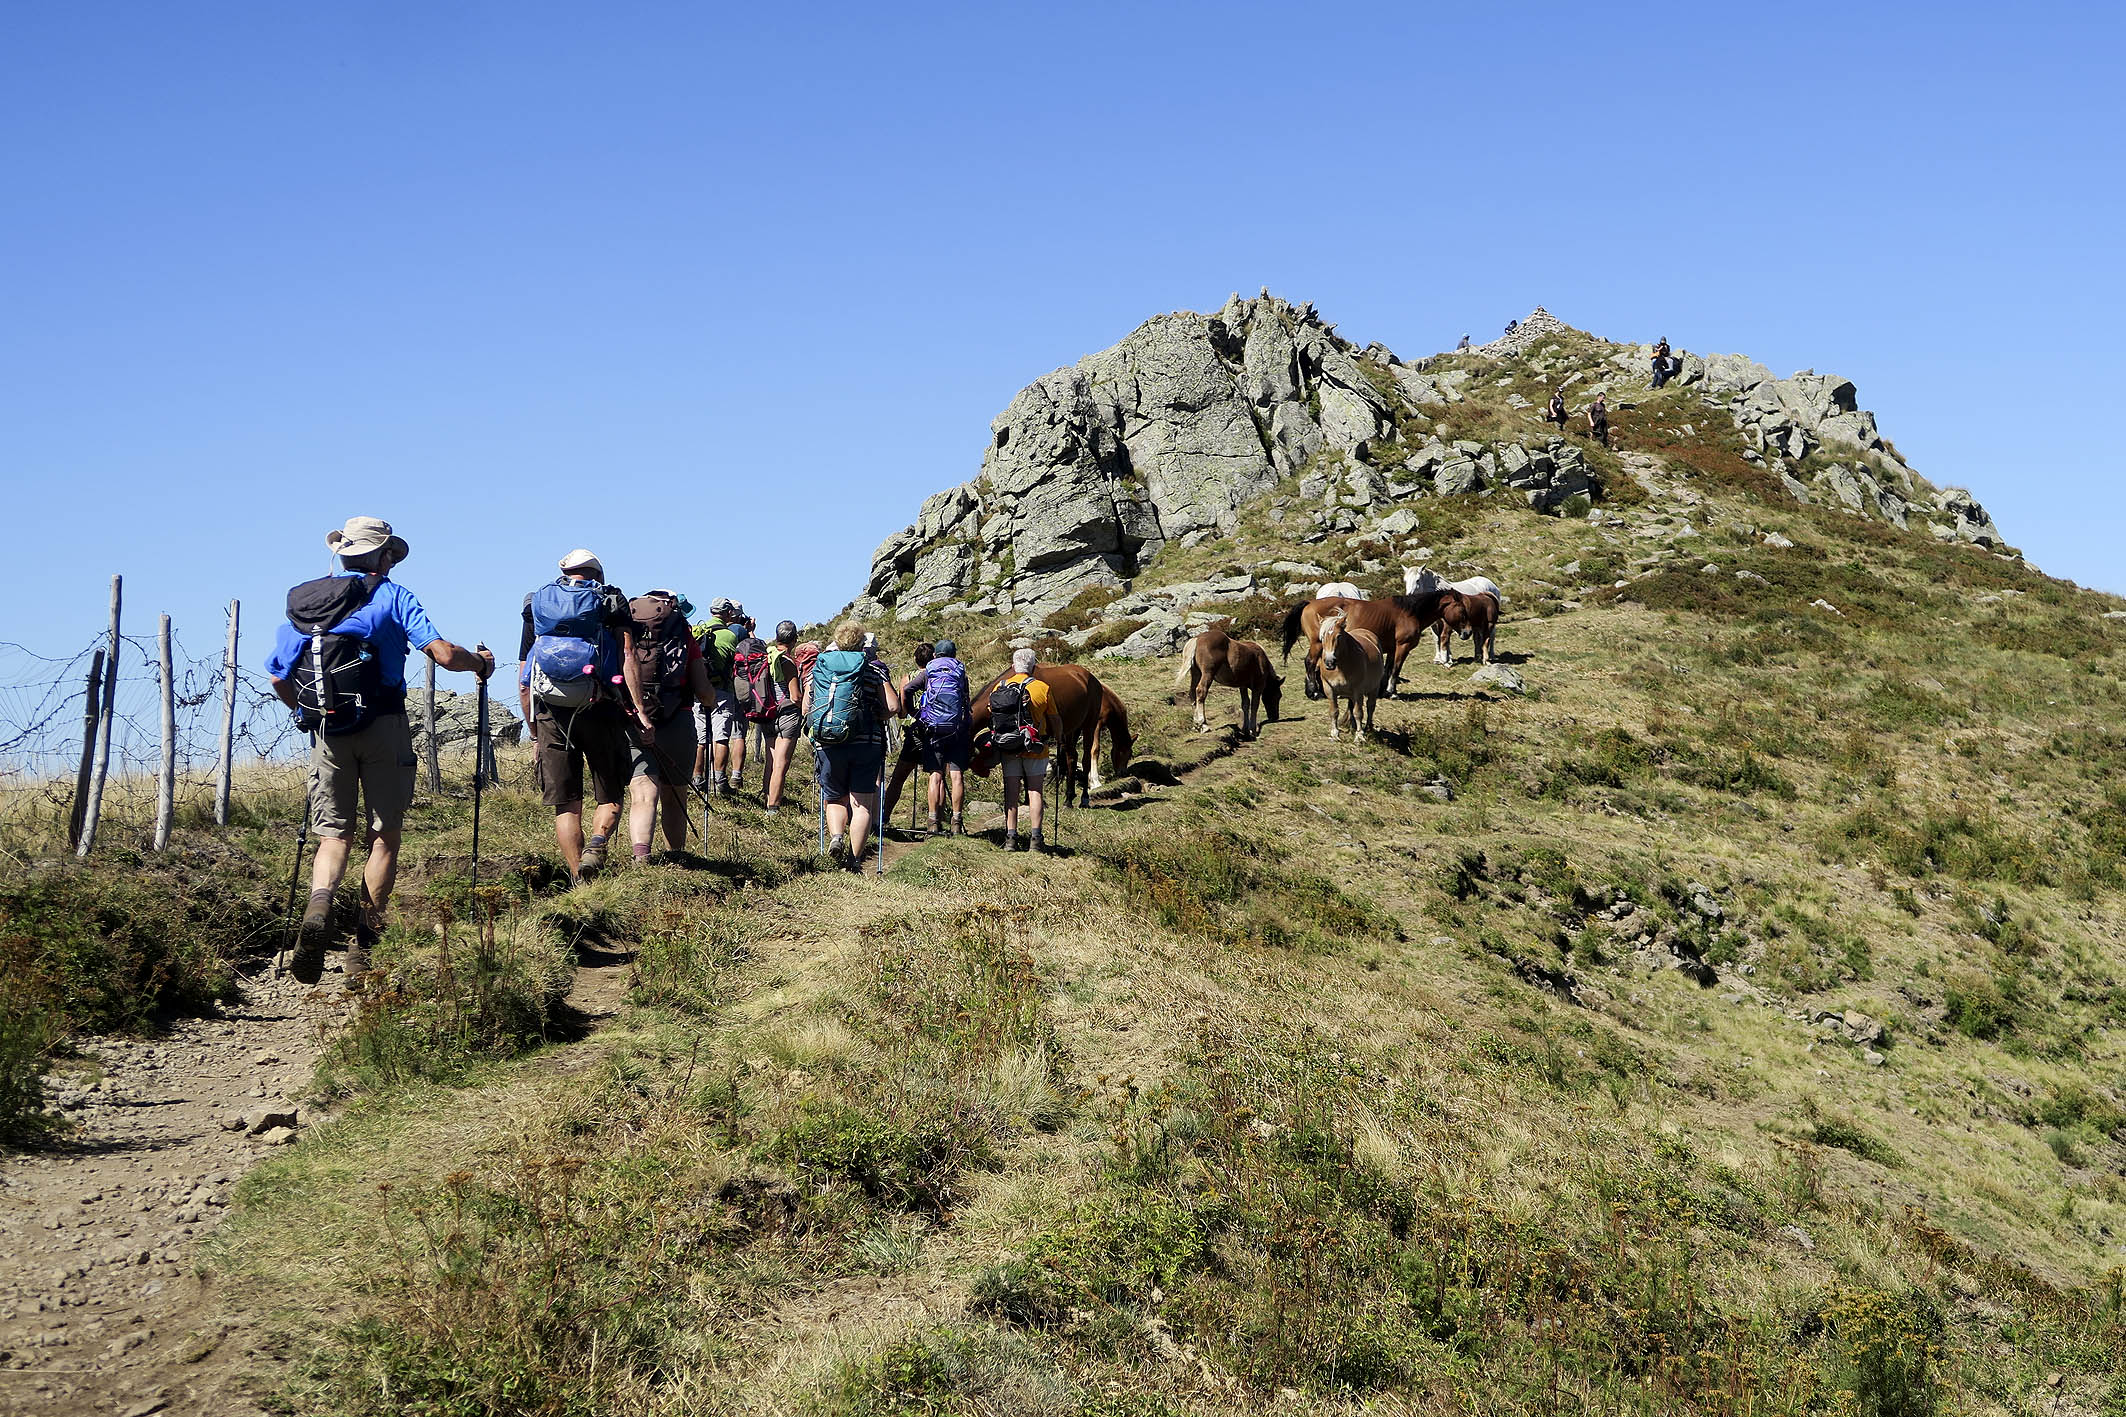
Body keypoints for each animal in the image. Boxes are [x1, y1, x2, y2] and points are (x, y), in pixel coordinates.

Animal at [1278, 590, 1460, 700]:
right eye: (1461, 609)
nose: (1465, 633)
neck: (1408, 613)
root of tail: (1309, 603)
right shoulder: (1403, 646)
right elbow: (1396, 669)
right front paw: (1392, 693)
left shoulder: (1392, 648)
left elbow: (1388, 669)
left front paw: (1382, 691)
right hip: (1318, 644)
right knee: (1310, 662)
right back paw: (1314, 692)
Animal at [1317, 613, 1381, 743]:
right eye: (1322, 637)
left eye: (1339, 636)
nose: (1329, 662)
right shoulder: (1329, 688)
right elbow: (1334, 711)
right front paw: (1335, 734)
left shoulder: (1358, 690)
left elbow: (1358, 712)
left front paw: (1359, 736)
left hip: (1374, 688)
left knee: (1370, 706)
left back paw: (1368, 728)